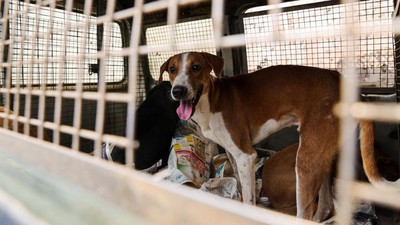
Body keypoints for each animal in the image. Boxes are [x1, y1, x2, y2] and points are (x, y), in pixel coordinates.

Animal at [159, 51, 400, 221]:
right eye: (172, 69)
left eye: (196, 67)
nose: (177, 91)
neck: (211, 99)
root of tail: (342, 80)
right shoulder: (234, 156)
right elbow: (241, 187)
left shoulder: (246, 155)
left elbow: (249, 199)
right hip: (320, 154)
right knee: (325, 205)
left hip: (305, 161)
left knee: (307, 211)